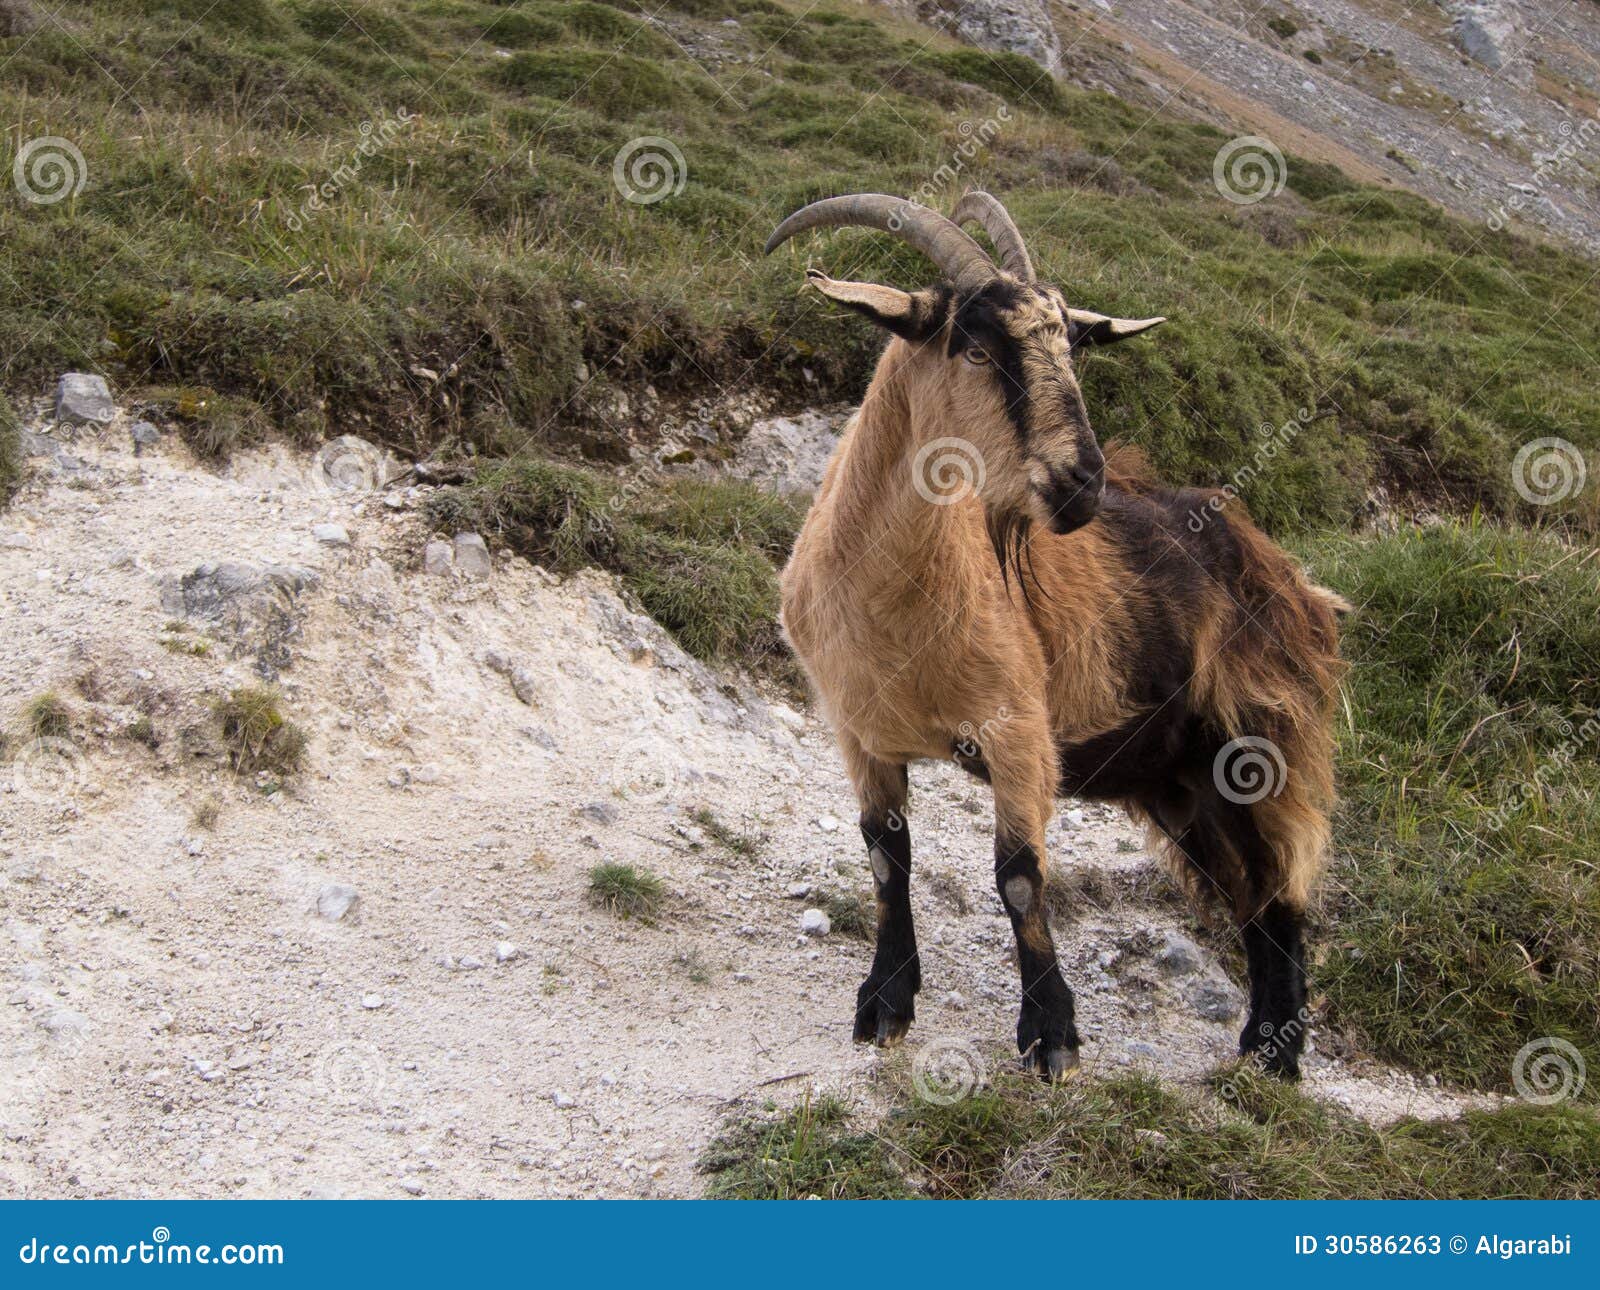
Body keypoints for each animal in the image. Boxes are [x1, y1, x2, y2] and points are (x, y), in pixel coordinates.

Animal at [768, 192, 1344, 1081]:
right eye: (974, 346)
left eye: (1072, 346)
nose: (1081, 485)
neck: (892, 607)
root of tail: (1291, 579)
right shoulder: (860, 733)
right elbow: (885, 861)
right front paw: (885, 1005)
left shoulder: (1020, 731)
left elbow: (1018, 877)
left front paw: (1052, 1037)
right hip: (1180, 781)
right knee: (1247, 888)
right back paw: (1261, 1043)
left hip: (1258, 737)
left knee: (1282, 882)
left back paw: (1276, 1052)